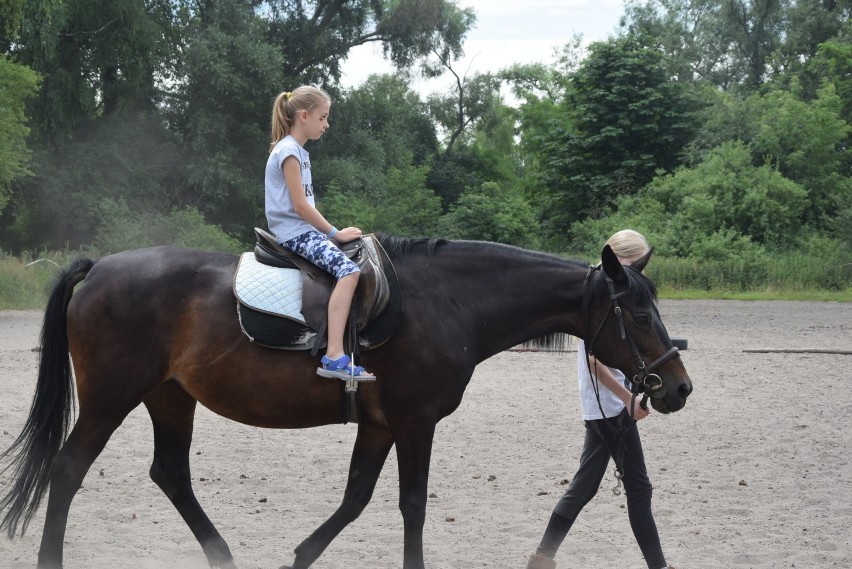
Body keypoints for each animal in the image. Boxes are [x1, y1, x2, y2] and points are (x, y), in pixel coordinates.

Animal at [0, 233, 692, 564]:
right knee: (67, 470)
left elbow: (356, 499)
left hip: (170, 397)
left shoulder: (380, 425)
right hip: (111, 398)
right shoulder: (414, 423)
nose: (679, 385)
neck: (448, 301)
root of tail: (100, 267)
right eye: (638, 313)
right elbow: (411, 506)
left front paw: (299, 558)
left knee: (169, 474)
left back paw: (223, 557)